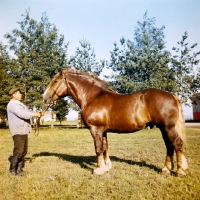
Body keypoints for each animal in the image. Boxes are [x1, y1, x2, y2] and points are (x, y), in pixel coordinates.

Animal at [43, 69, 188, 177]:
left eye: (55, 81)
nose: (44, 97)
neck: (93, 97)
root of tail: (173, 96)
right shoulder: (103, 131)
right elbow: (105, 148)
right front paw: (106, 167)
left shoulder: (96, 129)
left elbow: (98, 149)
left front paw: (98, 169)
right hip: (163, 128)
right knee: (169, 146)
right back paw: (166, 169)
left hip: (168, 127)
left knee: (177, 144)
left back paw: (180, 171)